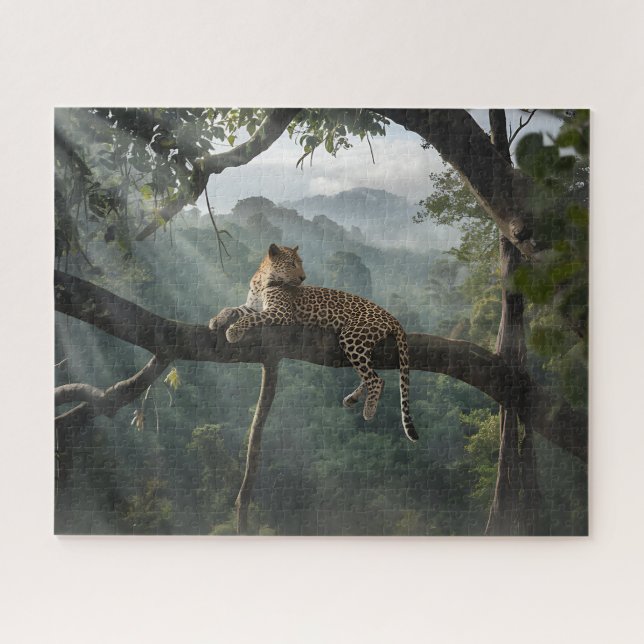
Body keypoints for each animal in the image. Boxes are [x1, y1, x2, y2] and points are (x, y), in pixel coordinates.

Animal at [209, 244, 418, 441]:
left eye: (300, 263)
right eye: (291, 264)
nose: (303, 277)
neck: (262, 280)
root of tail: (391, 316)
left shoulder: (280, 312)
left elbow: (249, 319)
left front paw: (233, 331)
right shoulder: (251, 307)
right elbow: (231, 309)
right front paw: (216, 320)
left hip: (352, 336)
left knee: (376, 379)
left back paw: (368, 410)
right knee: (370, 374)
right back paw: (352, 399)